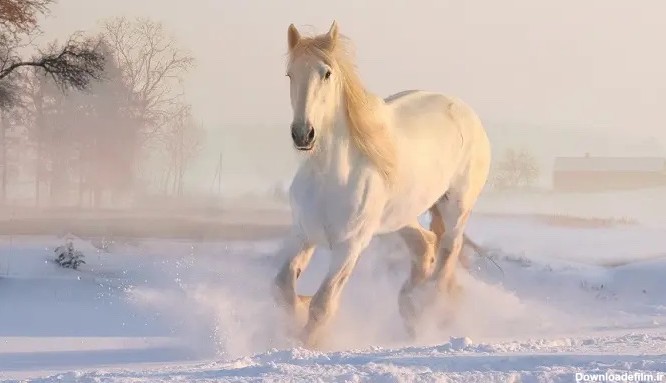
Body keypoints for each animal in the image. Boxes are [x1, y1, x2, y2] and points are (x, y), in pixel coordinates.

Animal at [272, 21, 490, 352]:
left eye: (326, 73)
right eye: (289, 74)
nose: (303, 134)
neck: (330, 177)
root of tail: (466, 112)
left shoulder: (350, 246)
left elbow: (323, 304)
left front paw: (308, 343)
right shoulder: (303, 234)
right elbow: (283, 287)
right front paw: (297, 314)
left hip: (456, 208)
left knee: (447, 253)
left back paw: (426, 308)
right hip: (401, 217)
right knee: (425, 246)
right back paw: (410, 307)